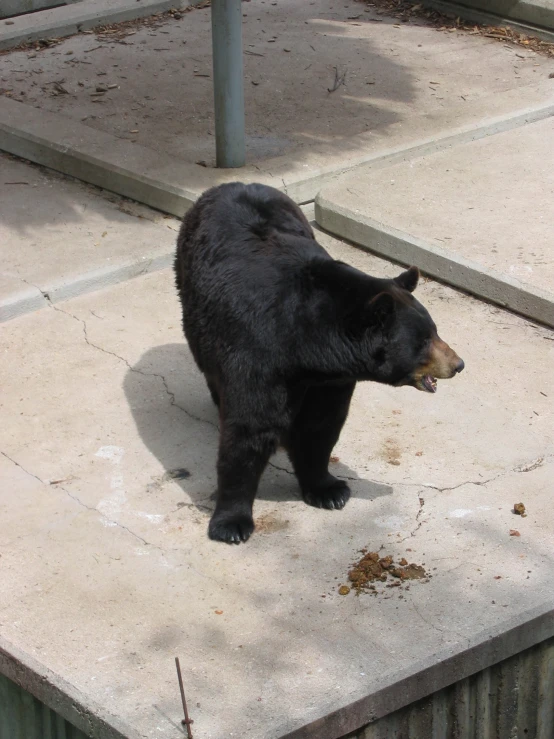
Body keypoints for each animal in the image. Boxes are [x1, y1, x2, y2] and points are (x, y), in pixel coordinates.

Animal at [174, 185, 462, 544]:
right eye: (423, 340)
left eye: (434, 330)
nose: (458, 363)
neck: (305, 347)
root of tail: (229, 185)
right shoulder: (258, 352)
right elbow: (250, 429)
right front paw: (231, 523)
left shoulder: (329, 381)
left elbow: (320, 425)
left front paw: (329, 490)